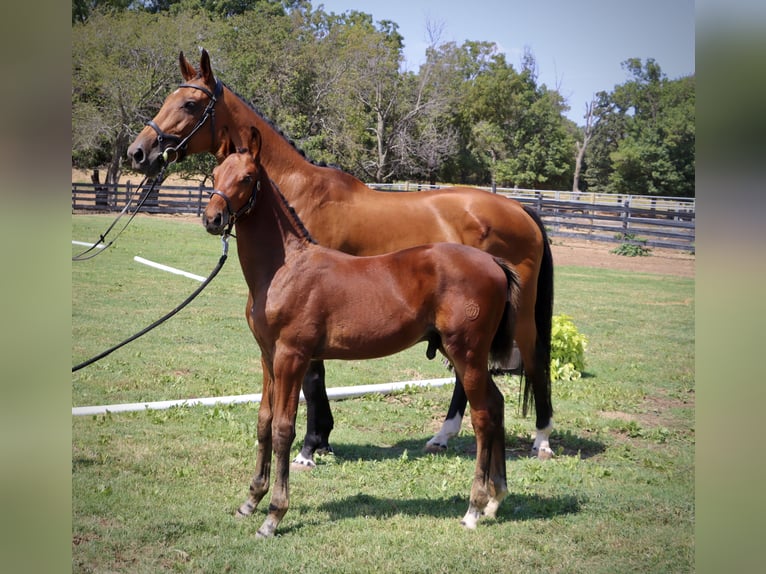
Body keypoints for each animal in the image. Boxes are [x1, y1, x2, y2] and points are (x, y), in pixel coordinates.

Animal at [129, 48, 556, 464]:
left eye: (188, 103)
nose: (138, 152)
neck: (299, 189)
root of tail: (521, 210)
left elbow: (313, 379)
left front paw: (310, 445)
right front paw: (320, 440)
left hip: (518, 319)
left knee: (534, 361)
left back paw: (542, 440)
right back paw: (442, 436)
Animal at [204, 128, 520, 536]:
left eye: (246, 177)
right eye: (215, 173)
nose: (213, 218)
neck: (285, 268)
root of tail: (495, 263)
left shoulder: (292, 357)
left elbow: (284, 429)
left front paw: (274, 514)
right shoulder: (267, 357)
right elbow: (263, 422)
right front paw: (251, 500)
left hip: (467, 354)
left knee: (482, 417)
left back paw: (474, 508)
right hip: (467, 356)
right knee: (496, 406)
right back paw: (496, 498)